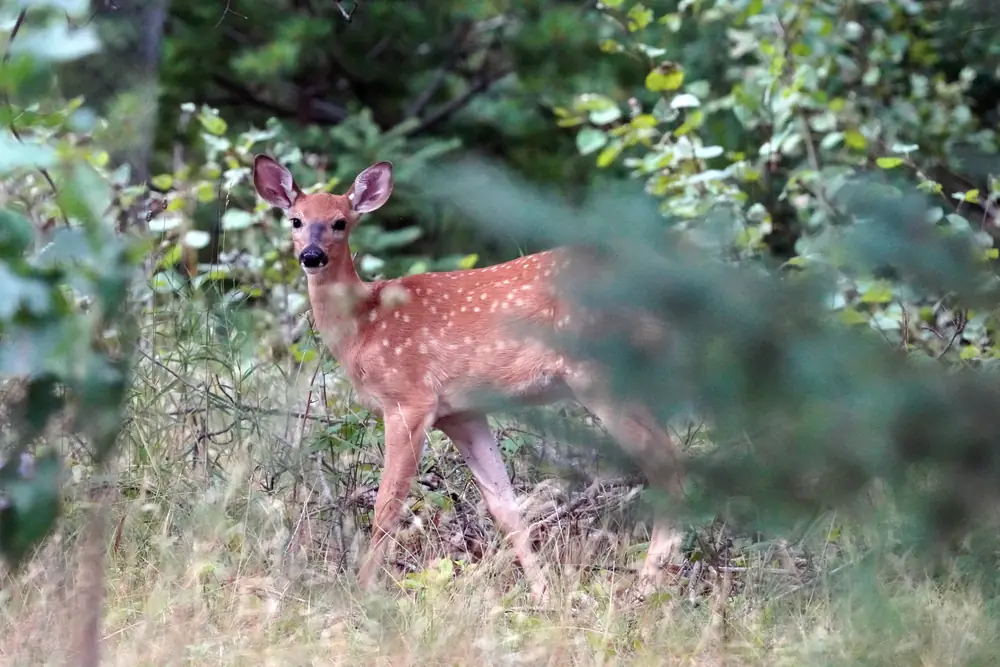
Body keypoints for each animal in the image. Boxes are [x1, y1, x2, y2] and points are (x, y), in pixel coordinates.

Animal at [252, 155, 687, 603]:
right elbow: (506, 507)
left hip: (600, 374)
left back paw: (649, 584)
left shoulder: (409, 399)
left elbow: (388, 503)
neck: (365, 326)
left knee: (673, 470)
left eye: (340, 222)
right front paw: (542, 594)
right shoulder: (460, 413)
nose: (312, 256)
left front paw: (363, 590)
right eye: (296, 220)